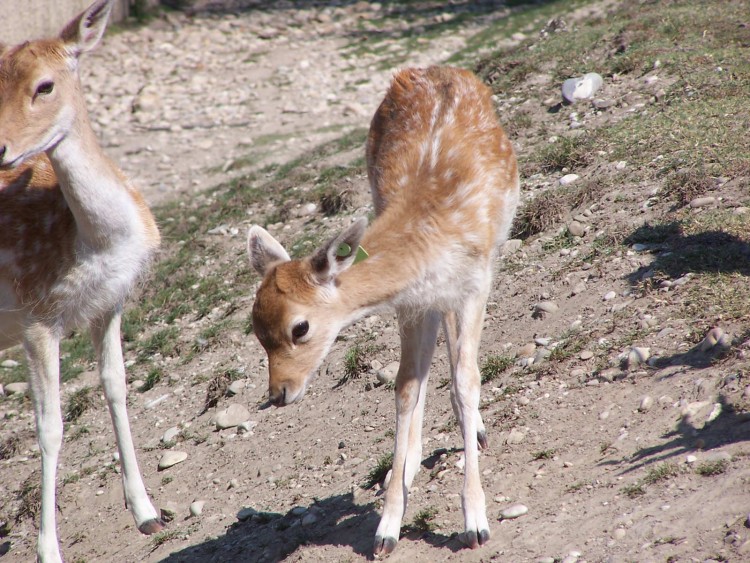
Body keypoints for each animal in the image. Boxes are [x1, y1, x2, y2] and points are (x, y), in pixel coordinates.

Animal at [0, 2, 164, 560]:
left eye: (44, 86)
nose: (1, 148)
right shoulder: (34, 318)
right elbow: (49, 428)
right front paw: (48, 550)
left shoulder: (109, 304)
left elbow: (116, 386)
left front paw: (148, 512)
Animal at [250, 66, 520, 556]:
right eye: (256, 331)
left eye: (299, 328)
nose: (278, 393)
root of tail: (436, 69)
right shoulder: (413, 305)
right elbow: (405, 388)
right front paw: (388, 525)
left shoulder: (475, 284)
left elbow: (466, 380)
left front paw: (475, 521)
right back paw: (412, 462)